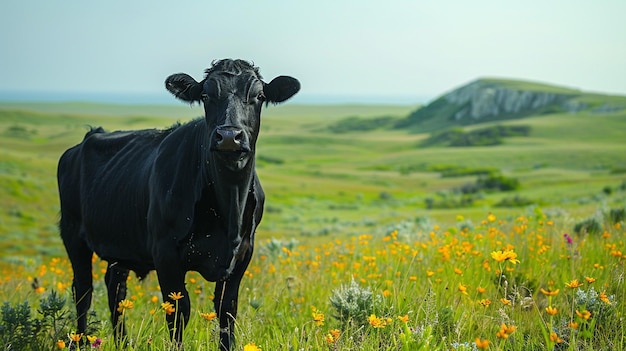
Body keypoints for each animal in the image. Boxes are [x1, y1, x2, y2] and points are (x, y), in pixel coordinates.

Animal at [58, 59, 300, 350]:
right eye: (205, 96)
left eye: (259, 96)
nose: (229, 136)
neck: (229, 208)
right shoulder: (165, 254)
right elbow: (178, 312)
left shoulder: (242, 254)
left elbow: (227, 312)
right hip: (73, 234)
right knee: (83, 290)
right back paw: (81, 341)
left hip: (120, 244)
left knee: (115, 289)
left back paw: (123, 342)